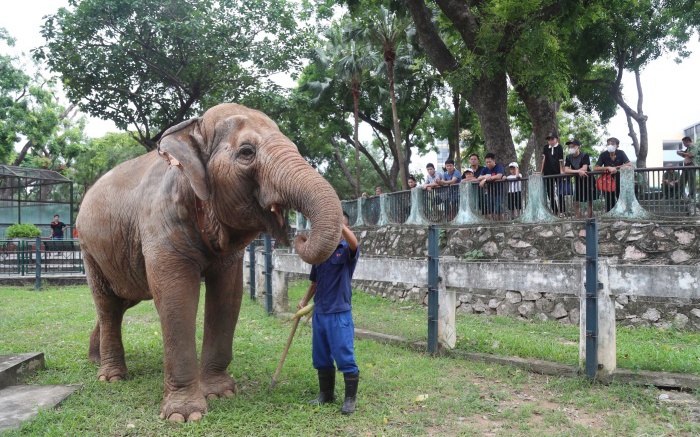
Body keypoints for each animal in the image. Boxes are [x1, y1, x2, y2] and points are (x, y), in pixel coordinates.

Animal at [76, 103, 344, 422]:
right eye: (246, 152)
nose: (299, 236)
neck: (192, 128)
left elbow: (228, 295)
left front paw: (220, 393)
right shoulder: (161, 223)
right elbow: (176, 297)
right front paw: (184, 415)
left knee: (121, 301)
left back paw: (95, 359)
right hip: (89, 249)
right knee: (106, 302)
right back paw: (112, 377)